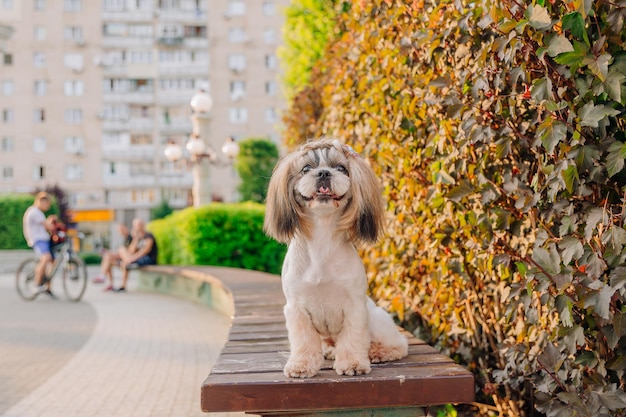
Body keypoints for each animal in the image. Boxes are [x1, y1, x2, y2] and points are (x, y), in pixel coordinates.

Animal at [260, 137, 408, 376]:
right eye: (306, 169)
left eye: (341, 168)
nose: (323, 173)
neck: (322, 237)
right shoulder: (297, 308)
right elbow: (304, 341)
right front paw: (301, 365)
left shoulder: (355, 307)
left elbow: (353, 338)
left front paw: (353, 363)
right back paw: (329, 351)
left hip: (376, 320)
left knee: (399, 343)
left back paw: (378, 352)